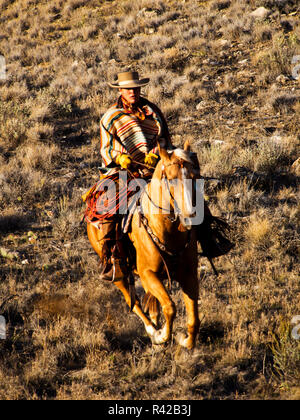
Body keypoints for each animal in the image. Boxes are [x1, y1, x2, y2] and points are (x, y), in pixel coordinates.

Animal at [88, 142, 200, 352]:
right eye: (171, 179)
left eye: (195, 176)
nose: (190, 216)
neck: (165, 230)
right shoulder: (148, 273)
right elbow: (170, 307)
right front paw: (162, 336)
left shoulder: (188, 273)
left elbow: (193, 315)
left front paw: (186, 340)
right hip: (118, 273)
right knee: (133, 302)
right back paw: (152, 330)